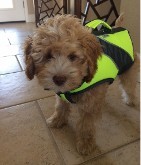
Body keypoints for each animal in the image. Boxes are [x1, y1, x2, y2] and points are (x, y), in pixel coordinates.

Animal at [23, 14, 139, 155]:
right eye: (48, 56)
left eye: (73, 56)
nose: (59, 79)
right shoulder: (61, 95)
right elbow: (60, 107)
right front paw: (57, 120)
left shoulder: (89, 105)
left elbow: (86, 124)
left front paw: (85, 143)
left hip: (129, 70)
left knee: (129, 86)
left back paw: (130, 100)